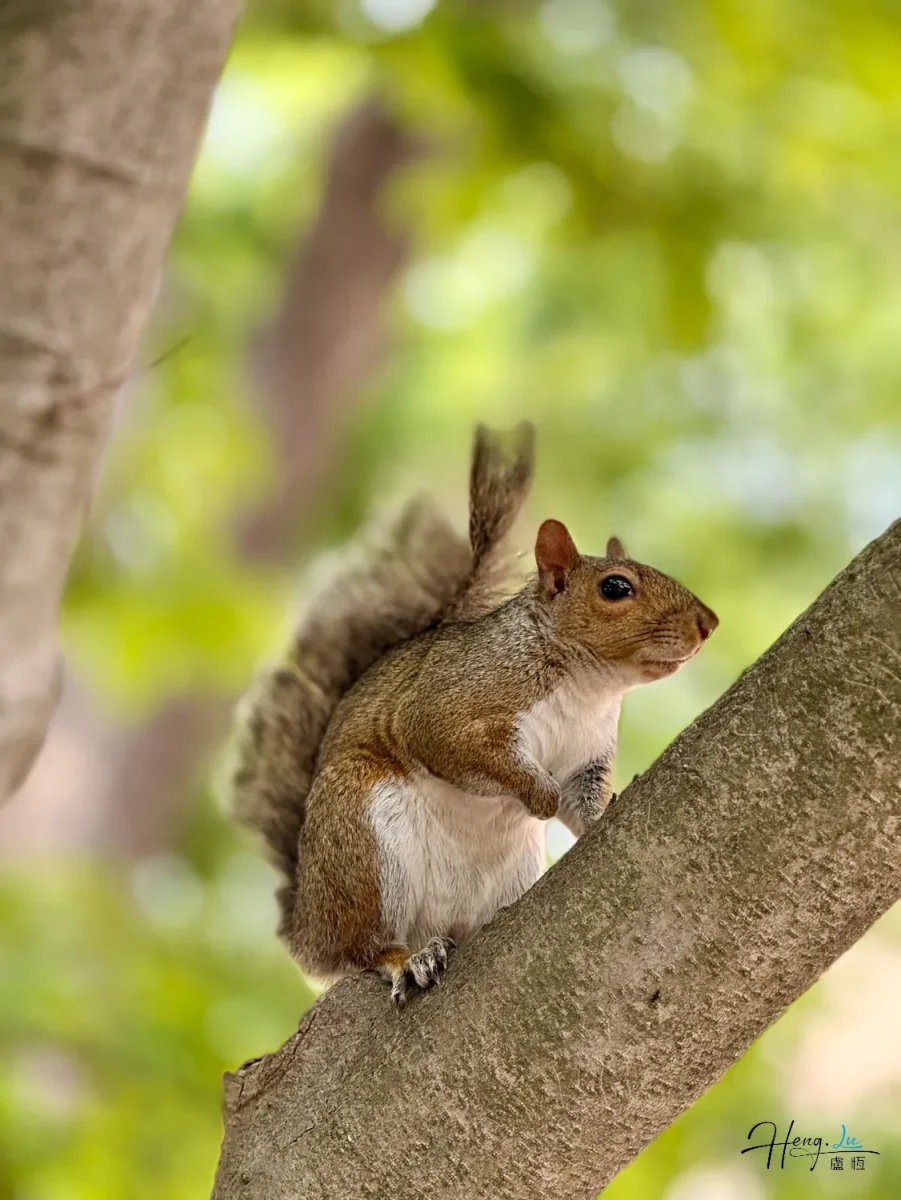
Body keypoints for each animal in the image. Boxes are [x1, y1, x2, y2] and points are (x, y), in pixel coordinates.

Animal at [228, 423, 718, 1006]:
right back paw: (407, 958)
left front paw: (599, 812)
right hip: (361, 843)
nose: (708, 622)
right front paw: (538, 796)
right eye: (615, 587)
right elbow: (464, 751)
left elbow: (582, 800)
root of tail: (307, 927)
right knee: (365, 950)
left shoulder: (586, 757)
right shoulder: (450, 708)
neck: (588, 687)